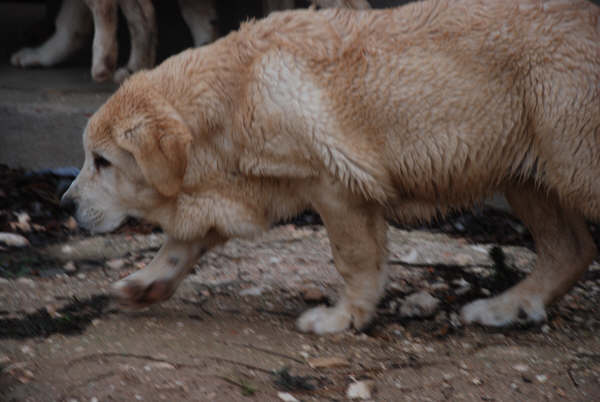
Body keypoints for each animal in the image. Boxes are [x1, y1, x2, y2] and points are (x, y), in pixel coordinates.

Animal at [61, 0, 600, 332]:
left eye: (102, 161)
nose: (65, 205)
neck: (234, 95)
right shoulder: (234, 184)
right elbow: (184, 241)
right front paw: (145, 284)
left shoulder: (334, 183)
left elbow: (354, 256)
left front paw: (344, 317)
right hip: (528, 162)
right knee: (570, 248)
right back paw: (506, 306)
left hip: (570, 146)